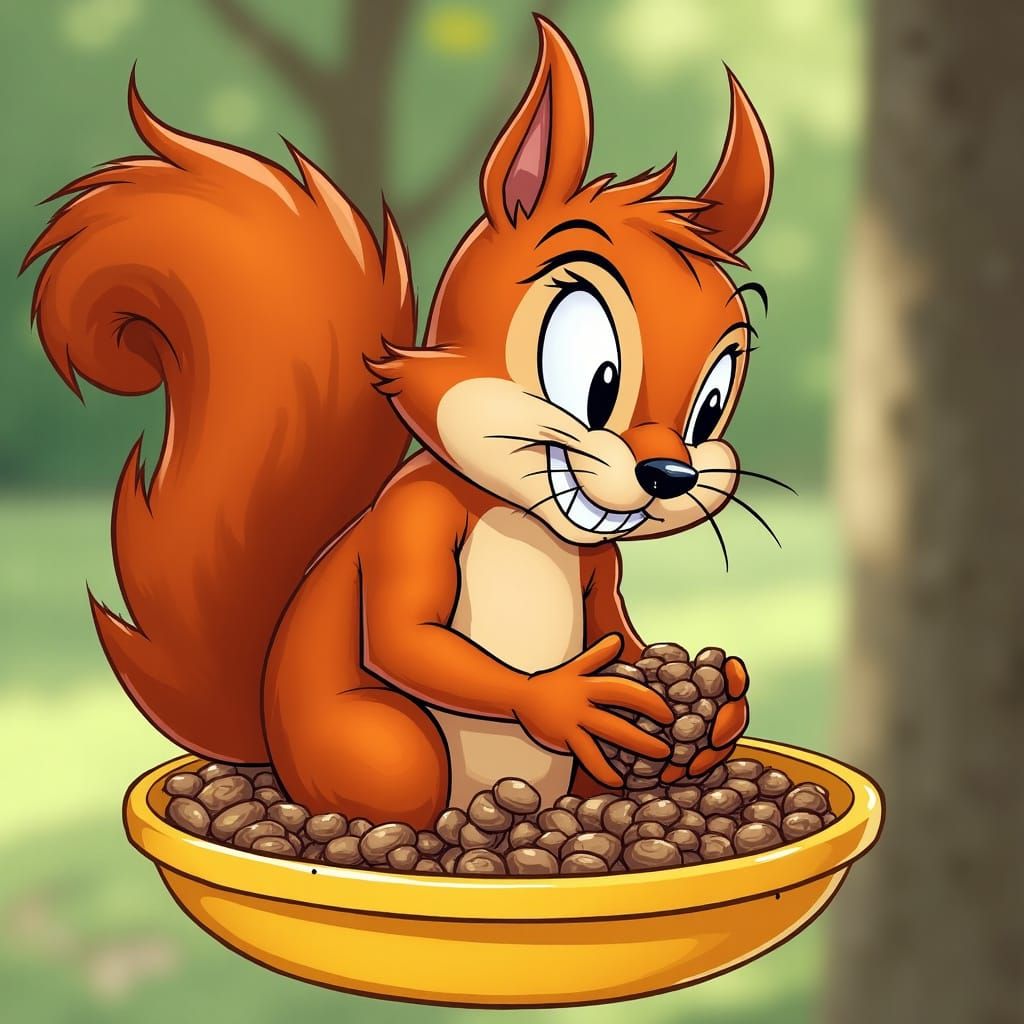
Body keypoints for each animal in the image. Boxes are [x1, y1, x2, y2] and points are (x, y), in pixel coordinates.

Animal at [24, 17, 772, 829]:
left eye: (713, 401)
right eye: (591, 373)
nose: (670, 473)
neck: (527, 519)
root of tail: (268, 748)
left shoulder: (598, 560)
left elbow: (614, 628)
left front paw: (723, 706)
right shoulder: (415, 516)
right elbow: (405, 634)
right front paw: (562, 699)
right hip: (387, 746)